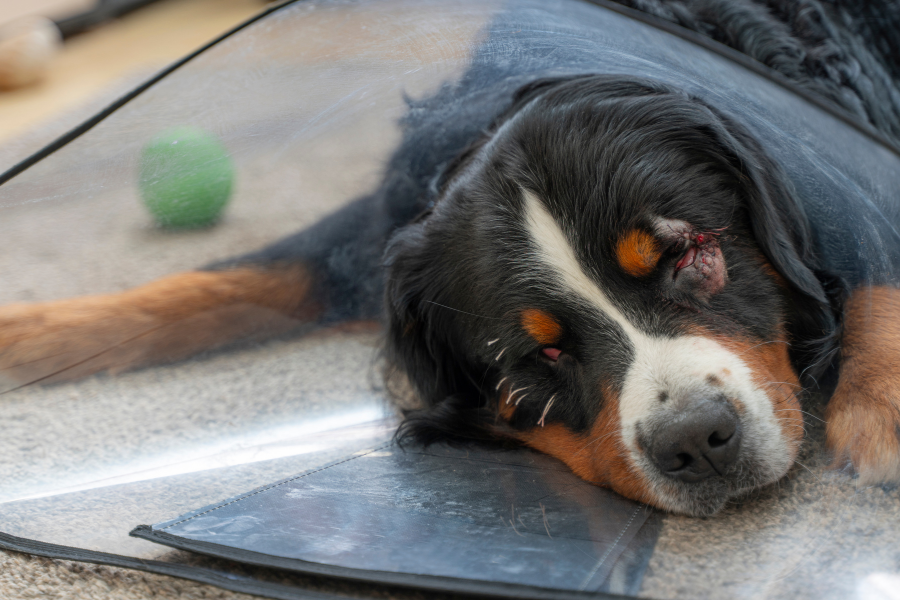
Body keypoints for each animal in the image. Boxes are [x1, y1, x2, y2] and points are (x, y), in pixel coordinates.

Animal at [1, 0, 900, 516]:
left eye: (687, 255)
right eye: (537, 357)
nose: (696, 441)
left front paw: (880, 410)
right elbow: (227, 279)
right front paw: (28, 332)